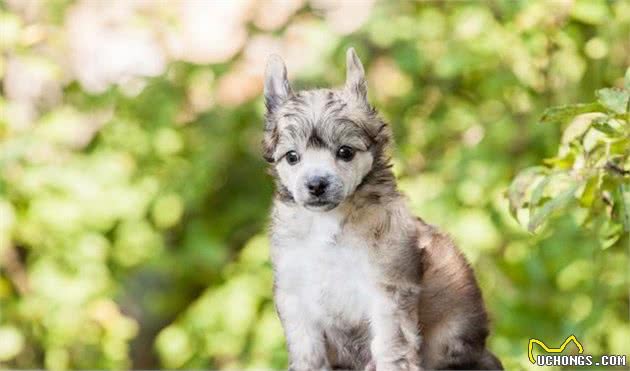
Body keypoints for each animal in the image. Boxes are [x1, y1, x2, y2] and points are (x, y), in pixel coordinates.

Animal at [264, 49, 506, 371]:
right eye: (292, 157)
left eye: (345, 152)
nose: (316, 184)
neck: (329, 225)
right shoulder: (295, 293)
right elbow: (307, 352)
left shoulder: (388, 288)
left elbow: (392, 346)